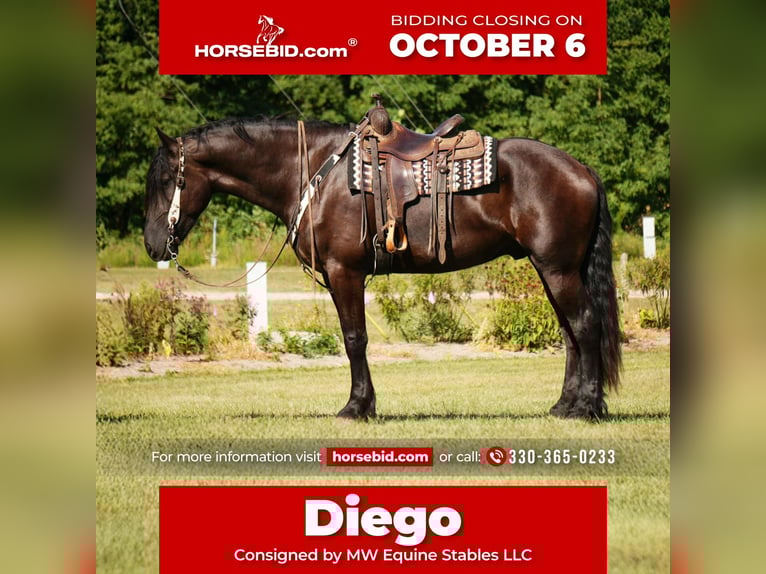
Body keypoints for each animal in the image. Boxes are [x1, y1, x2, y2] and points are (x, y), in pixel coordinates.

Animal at [143, 114, 622, 420]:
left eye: (166, 180)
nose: (152, 245)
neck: (311, 171)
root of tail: (580, 168)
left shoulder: (345, 272)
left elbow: (354, 339)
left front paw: (357, 407)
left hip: (558, 269)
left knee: (585, 325)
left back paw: (587, 408)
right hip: (551, 269)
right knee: (570, 333)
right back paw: (564, 405)